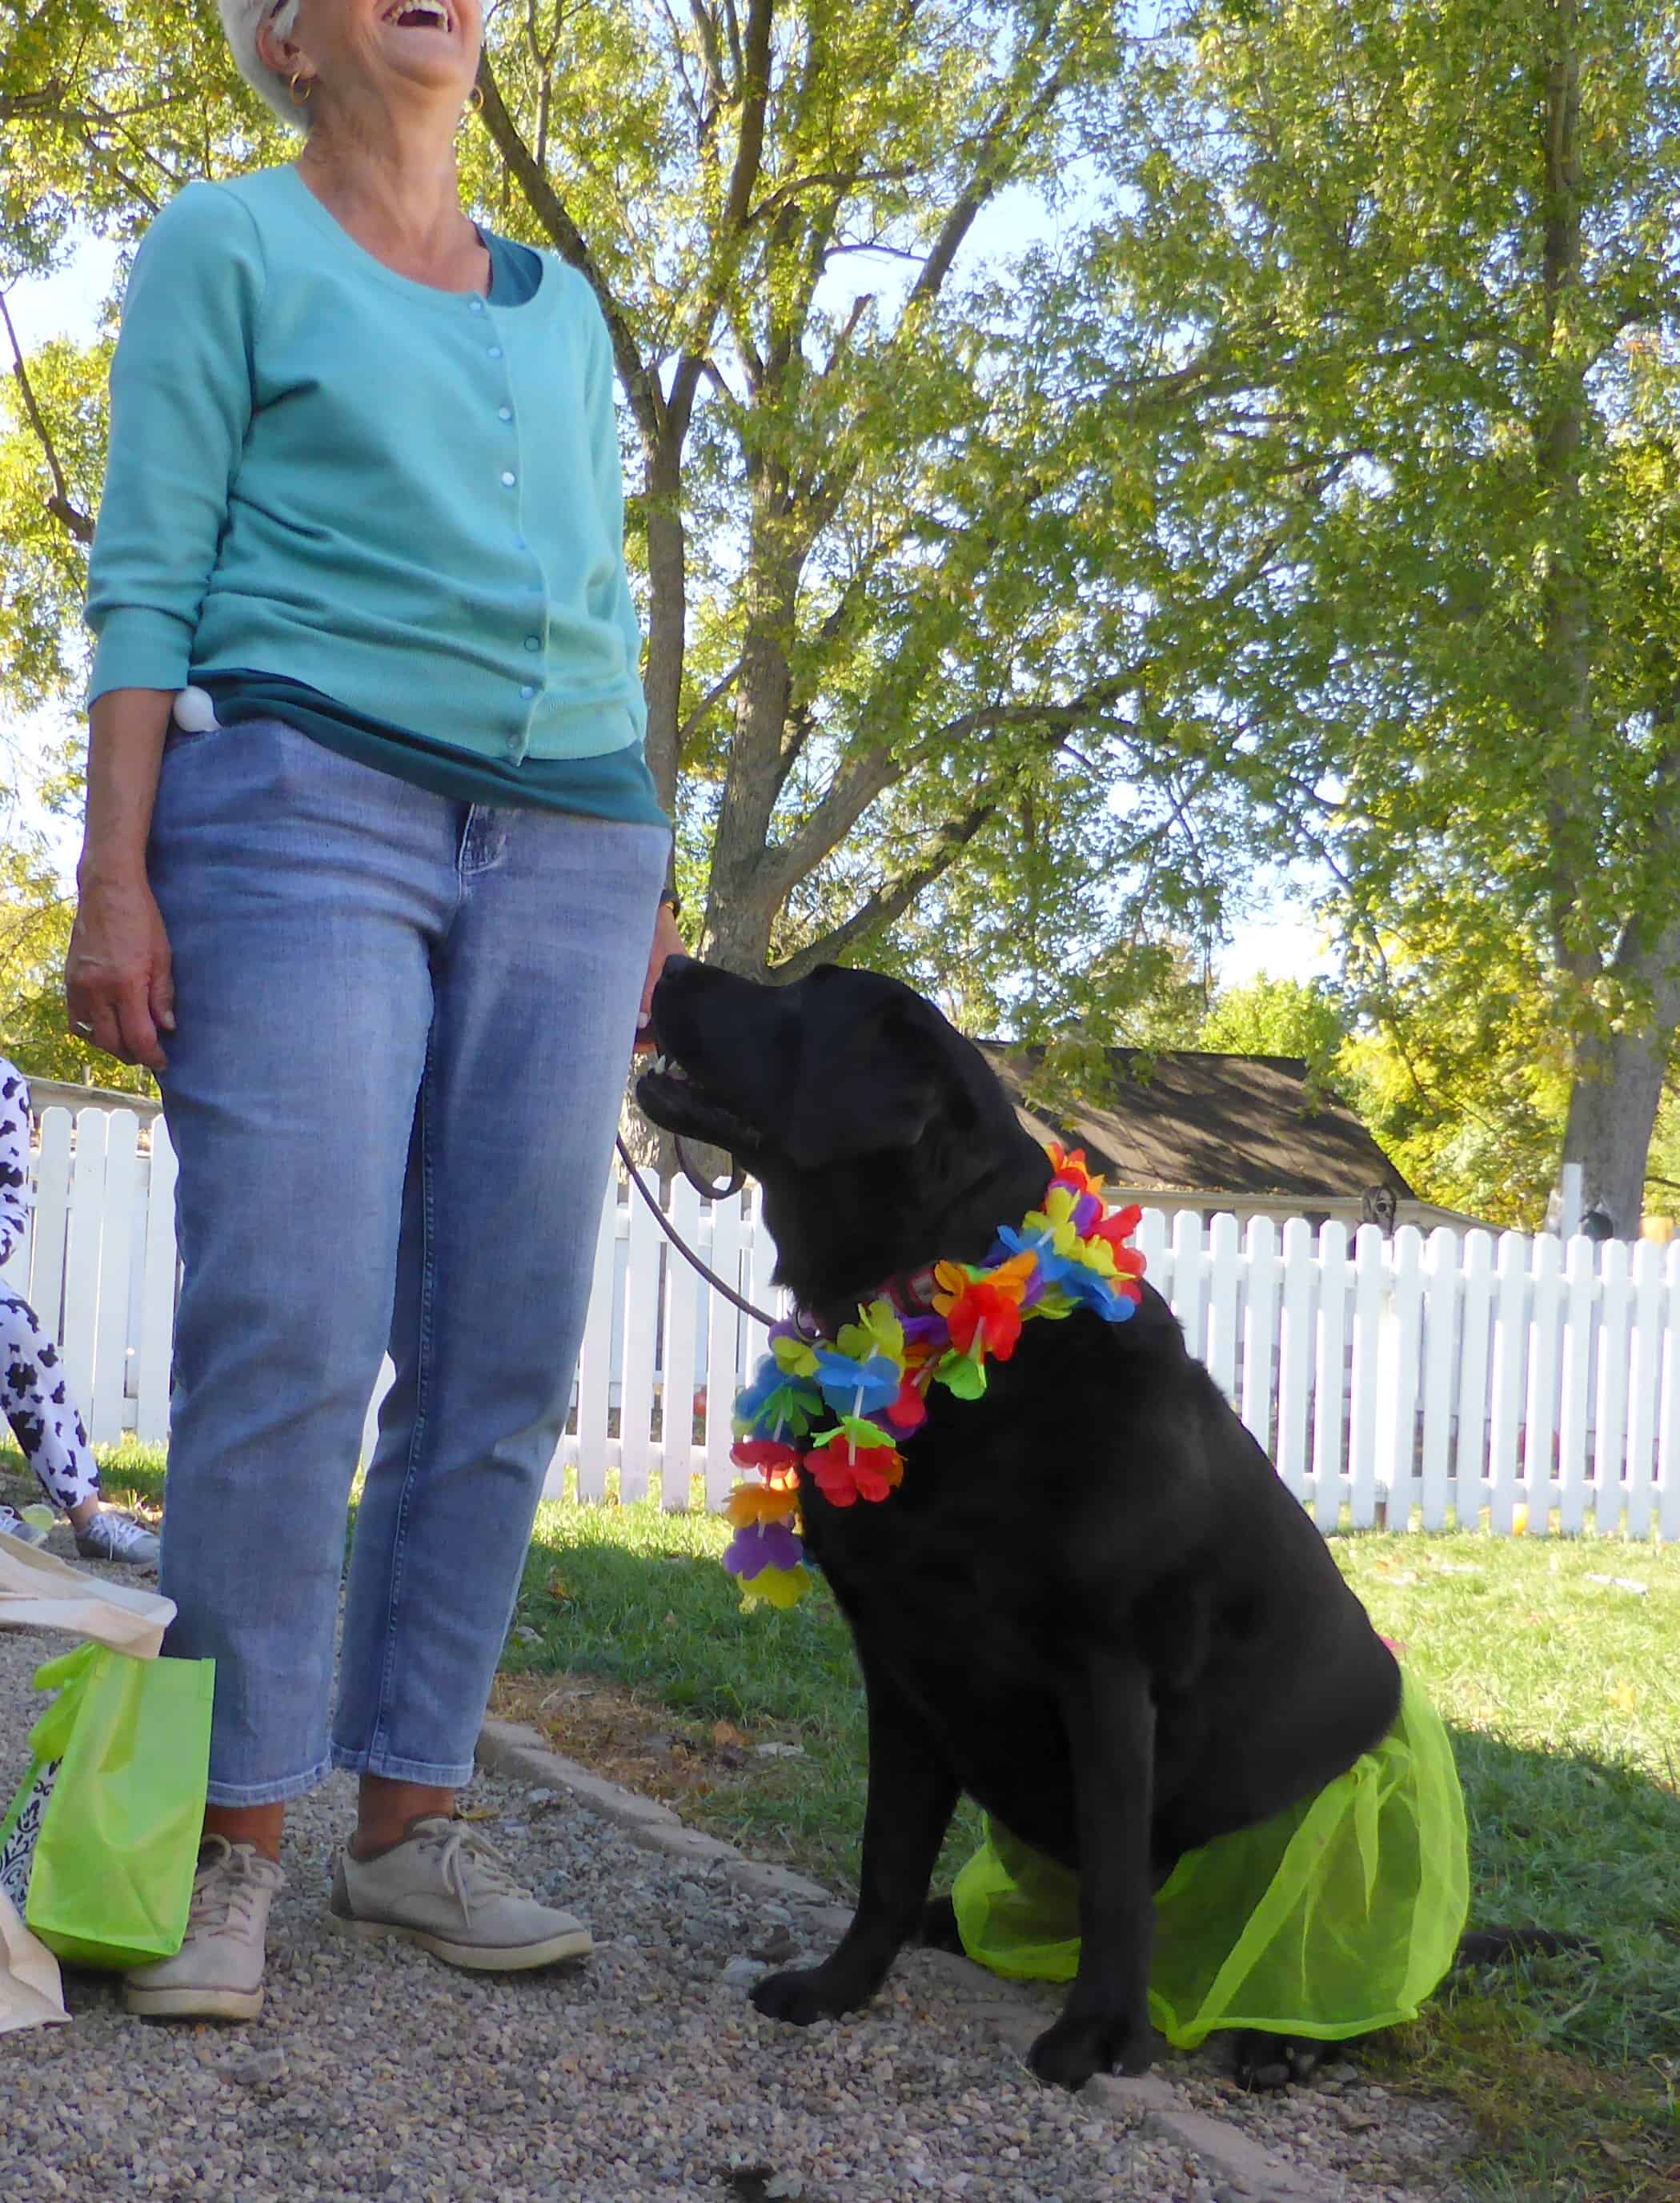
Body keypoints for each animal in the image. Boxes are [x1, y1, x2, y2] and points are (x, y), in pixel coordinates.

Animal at [636, 957, 1422, 2090]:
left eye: (803, 997)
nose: (672, 963)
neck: (936, 1316)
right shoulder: (897, 1660)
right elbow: (883, 1855)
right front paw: (839, 1986)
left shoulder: (1107, 1672)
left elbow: (1113, 1878)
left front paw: (1096, 2038)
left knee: (1338, 1977)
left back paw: (1279, 2039)